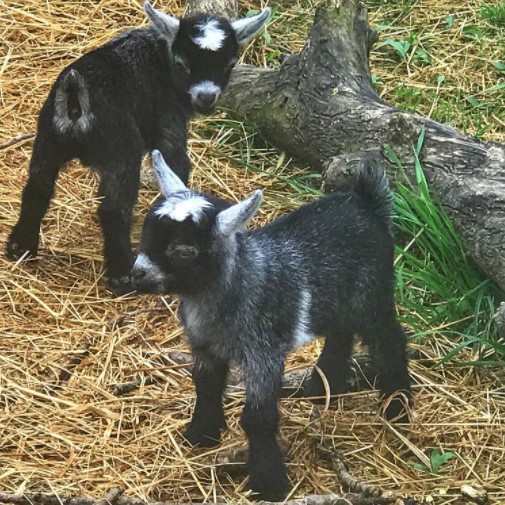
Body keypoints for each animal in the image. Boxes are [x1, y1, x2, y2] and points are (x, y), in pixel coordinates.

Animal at [5, 1, 270, 294]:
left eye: (229, 64)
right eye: (182, 63)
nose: (206, 97)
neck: (161, 58)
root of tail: (75, 97)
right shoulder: (169, 125)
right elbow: (177, 165)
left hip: (49, 138)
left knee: (37, 188)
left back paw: (20, 248)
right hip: (121, 148)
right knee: (113, 208)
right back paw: (122, 274)